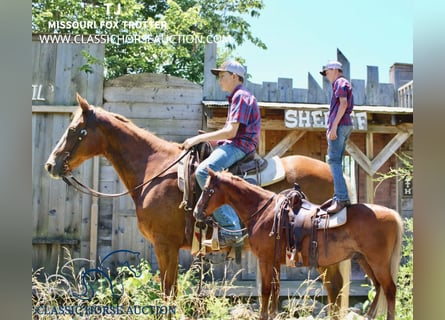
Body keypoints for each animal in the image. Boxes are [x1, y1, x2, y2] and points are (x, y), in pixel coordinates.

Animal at [45, 94, 350, 308]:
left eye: (74, 131)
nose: (51, 164)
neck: (155, 170)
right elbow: (172, 291)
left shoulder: (164, 245)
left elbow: (167, 293)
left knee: (334, 288)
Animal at [194, 169, 402, 318]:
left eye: (207, 190)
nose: (197, 212)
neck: (263, 210)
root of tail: (392, 214)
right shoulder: (276, 262)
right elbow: (275, 290)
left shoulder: (265, 260)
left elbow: (266, 291)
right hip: (364, 260)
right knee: (376, 286)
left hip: (378, 262)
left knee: (389, 289)